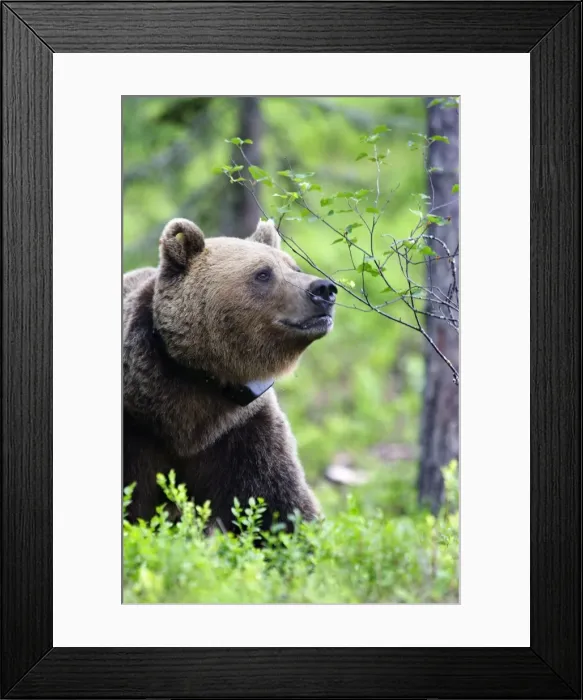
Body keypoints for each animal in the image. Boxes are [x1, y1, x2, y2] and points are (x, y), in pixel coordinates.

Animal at [123, 217, 337, 533]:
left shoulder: (240, 430)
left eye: (294, 267)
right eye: (263, 273)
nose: (324, 289)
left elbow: (276, 504)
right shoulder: (138, 430)